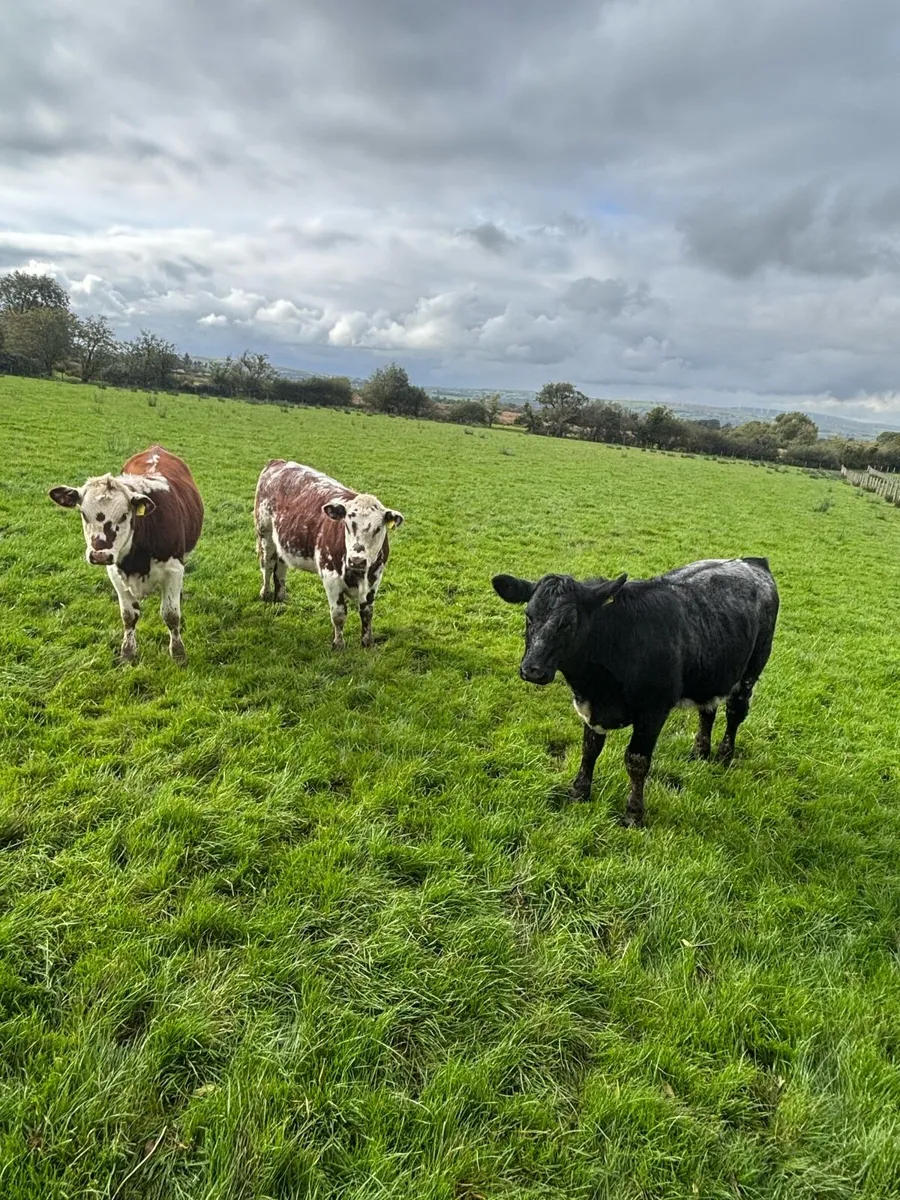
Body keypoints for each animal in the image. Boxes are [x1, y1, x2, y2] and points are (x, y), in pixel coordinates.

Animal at [48, 445, 204, 664]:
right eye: (83, 514)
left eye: (124, 515)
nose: (99, 555)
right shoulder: (115, 572)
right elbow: (129, 616)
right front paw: (128, 653)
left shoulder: (174, 569)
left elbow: (171, 615)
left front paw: (178, 653)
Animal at [254, 460, 404, 649]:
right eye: (347, 524)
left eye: (378, 528)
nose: (357, 560)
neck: (358, 574)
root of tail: (278, 462)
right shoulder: (331, 577)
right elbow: (339, 614)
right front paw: (338, 644)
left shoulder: (375, 579)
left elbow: (367, 612)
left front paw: (367, 642)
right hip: (264, 533)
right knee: (267, 565)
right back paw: (265, 594)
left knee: (280, 568)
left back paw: (280, 597)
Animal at [492, 557, 779, 826]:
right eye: (529, 616)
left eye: (568, 624)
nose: (532, 670)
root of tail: (751, 561)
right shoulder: (591, 709)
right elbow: (589, 748)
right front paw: (579, 792)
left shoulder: (653, 712)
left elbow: (636, 761)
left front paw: (634, 813)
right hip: (711, 673)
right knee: (707, 710)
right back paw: (699, 753)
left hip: (752, 669)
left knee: (735, 712)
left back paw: (724, 756)